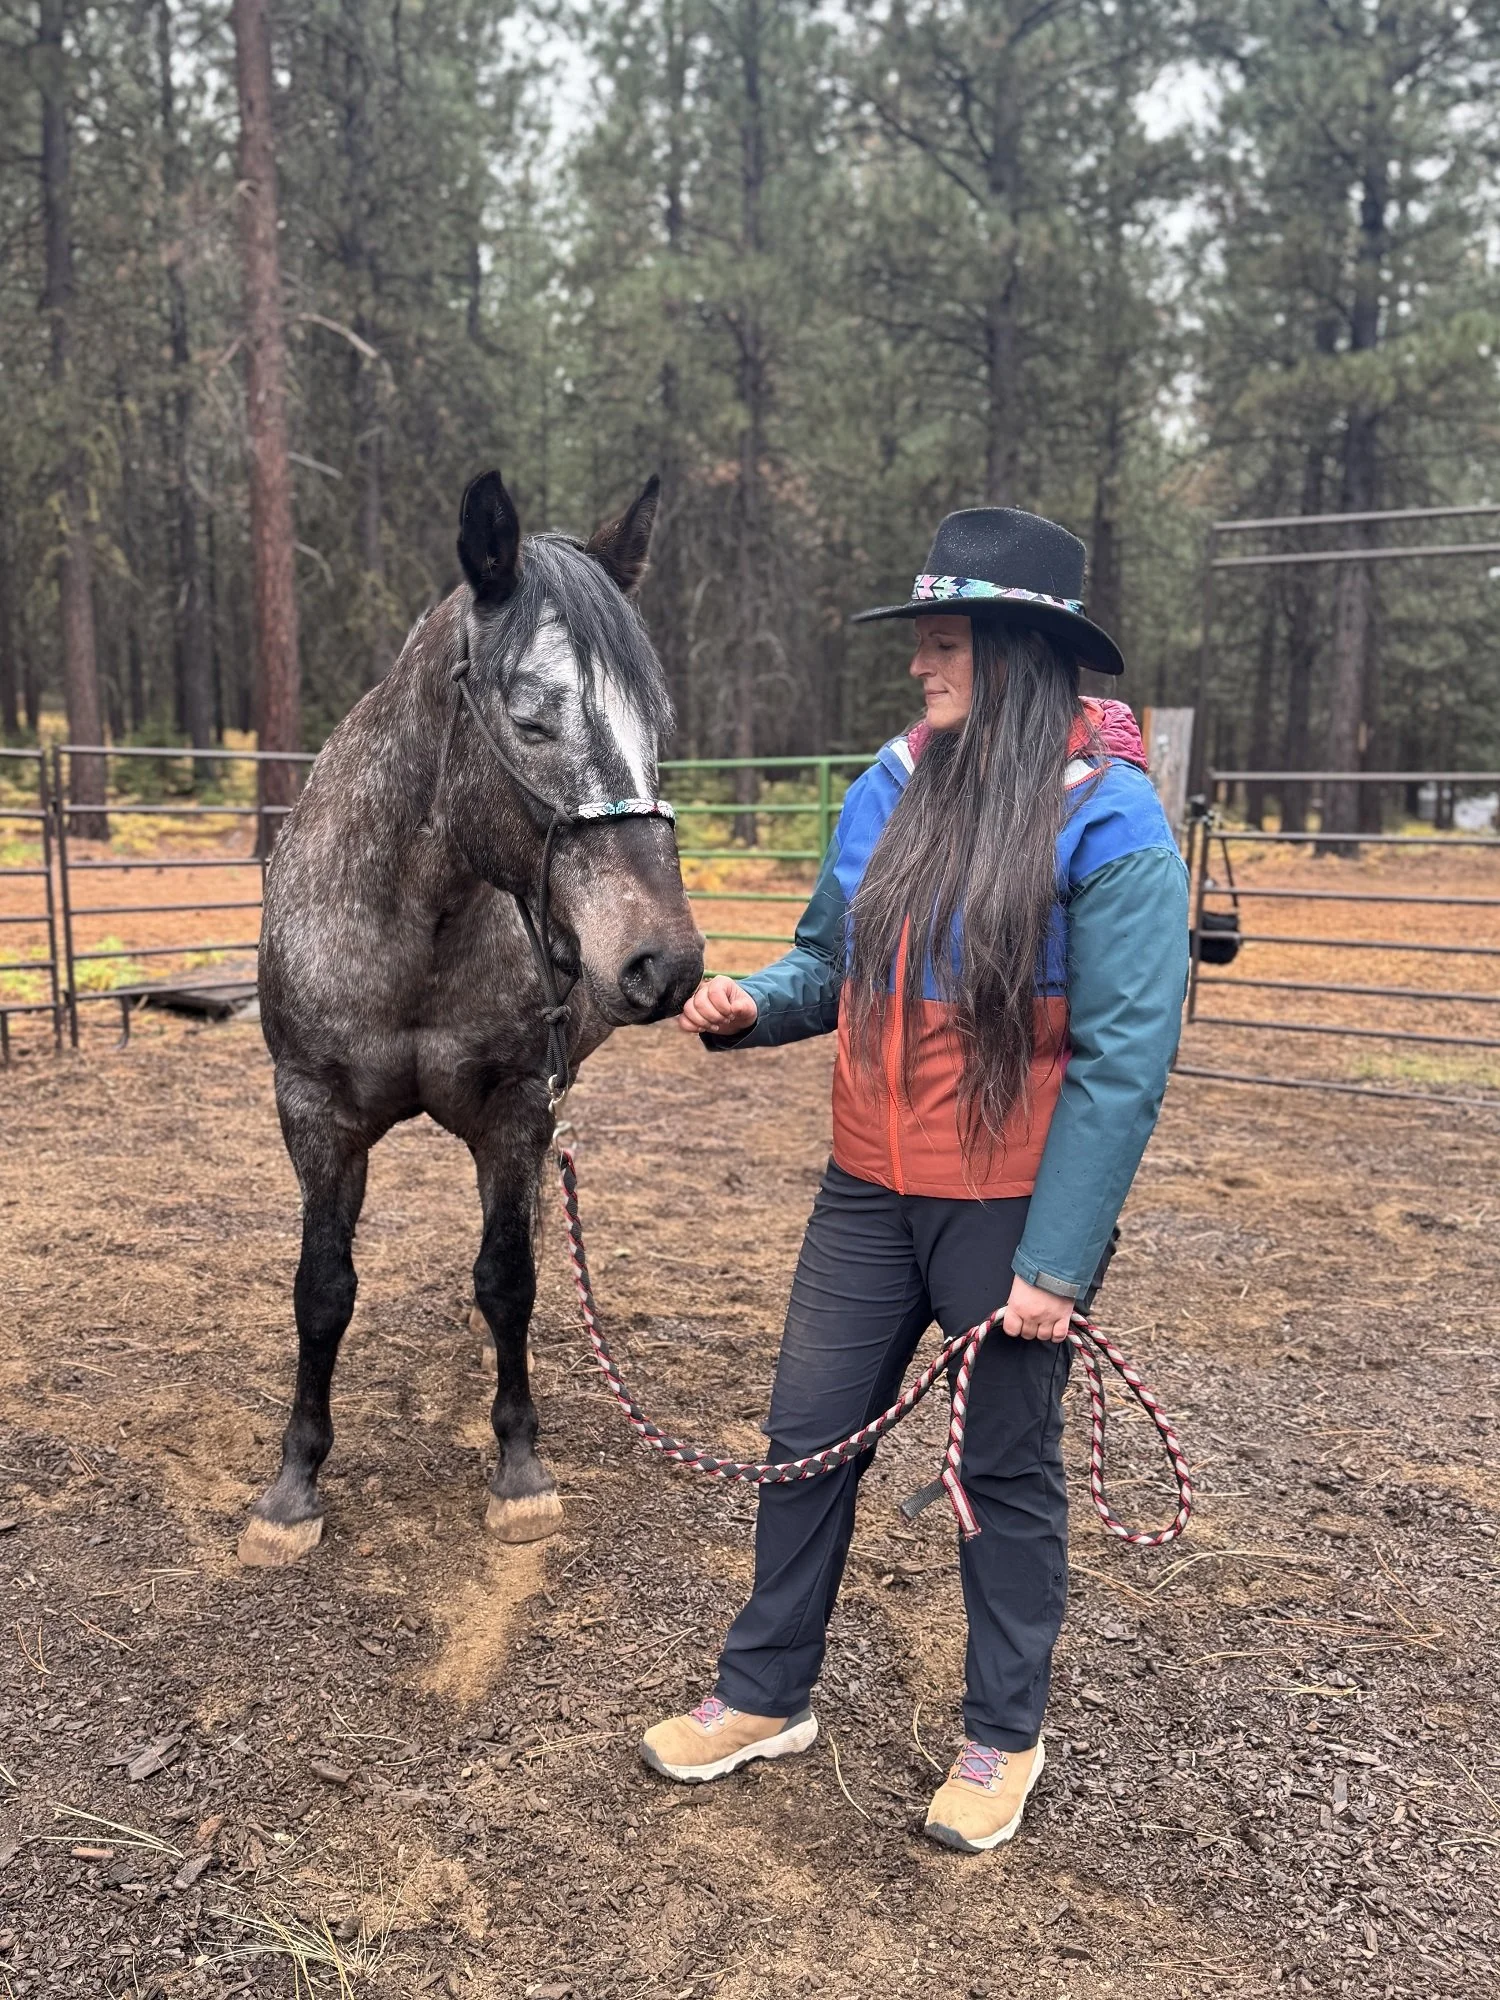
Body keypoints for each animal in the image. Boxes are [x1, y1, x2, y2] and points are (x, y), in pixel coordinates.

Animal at [238, 469, 704, 1568]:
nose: (663, 961)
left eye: (657, 723)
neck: (411, 917)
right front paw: (293, 1486)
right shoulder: (313, 1113)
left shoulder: (513, 1107)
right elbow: (322, 1289)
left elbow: (509, 1277)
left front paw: (520, 1468)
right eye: (531, 719)